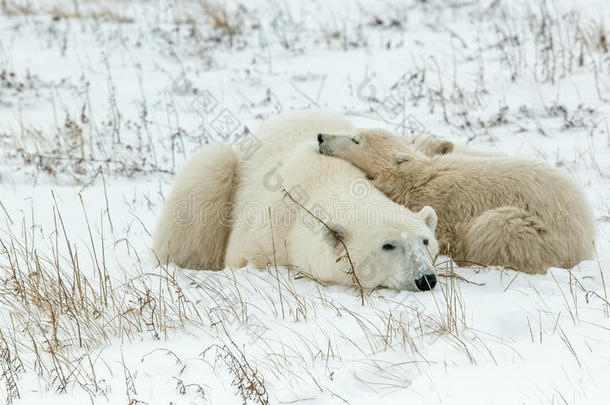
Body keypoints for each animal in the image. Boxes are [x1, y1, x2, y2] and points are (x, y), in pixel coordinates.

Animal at [318, 129, 592, 274]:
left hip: (540, 232)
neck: (417, 179)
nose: (321, 137)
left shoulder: (442, 208)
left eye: (356, 139)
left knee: (497, 227)